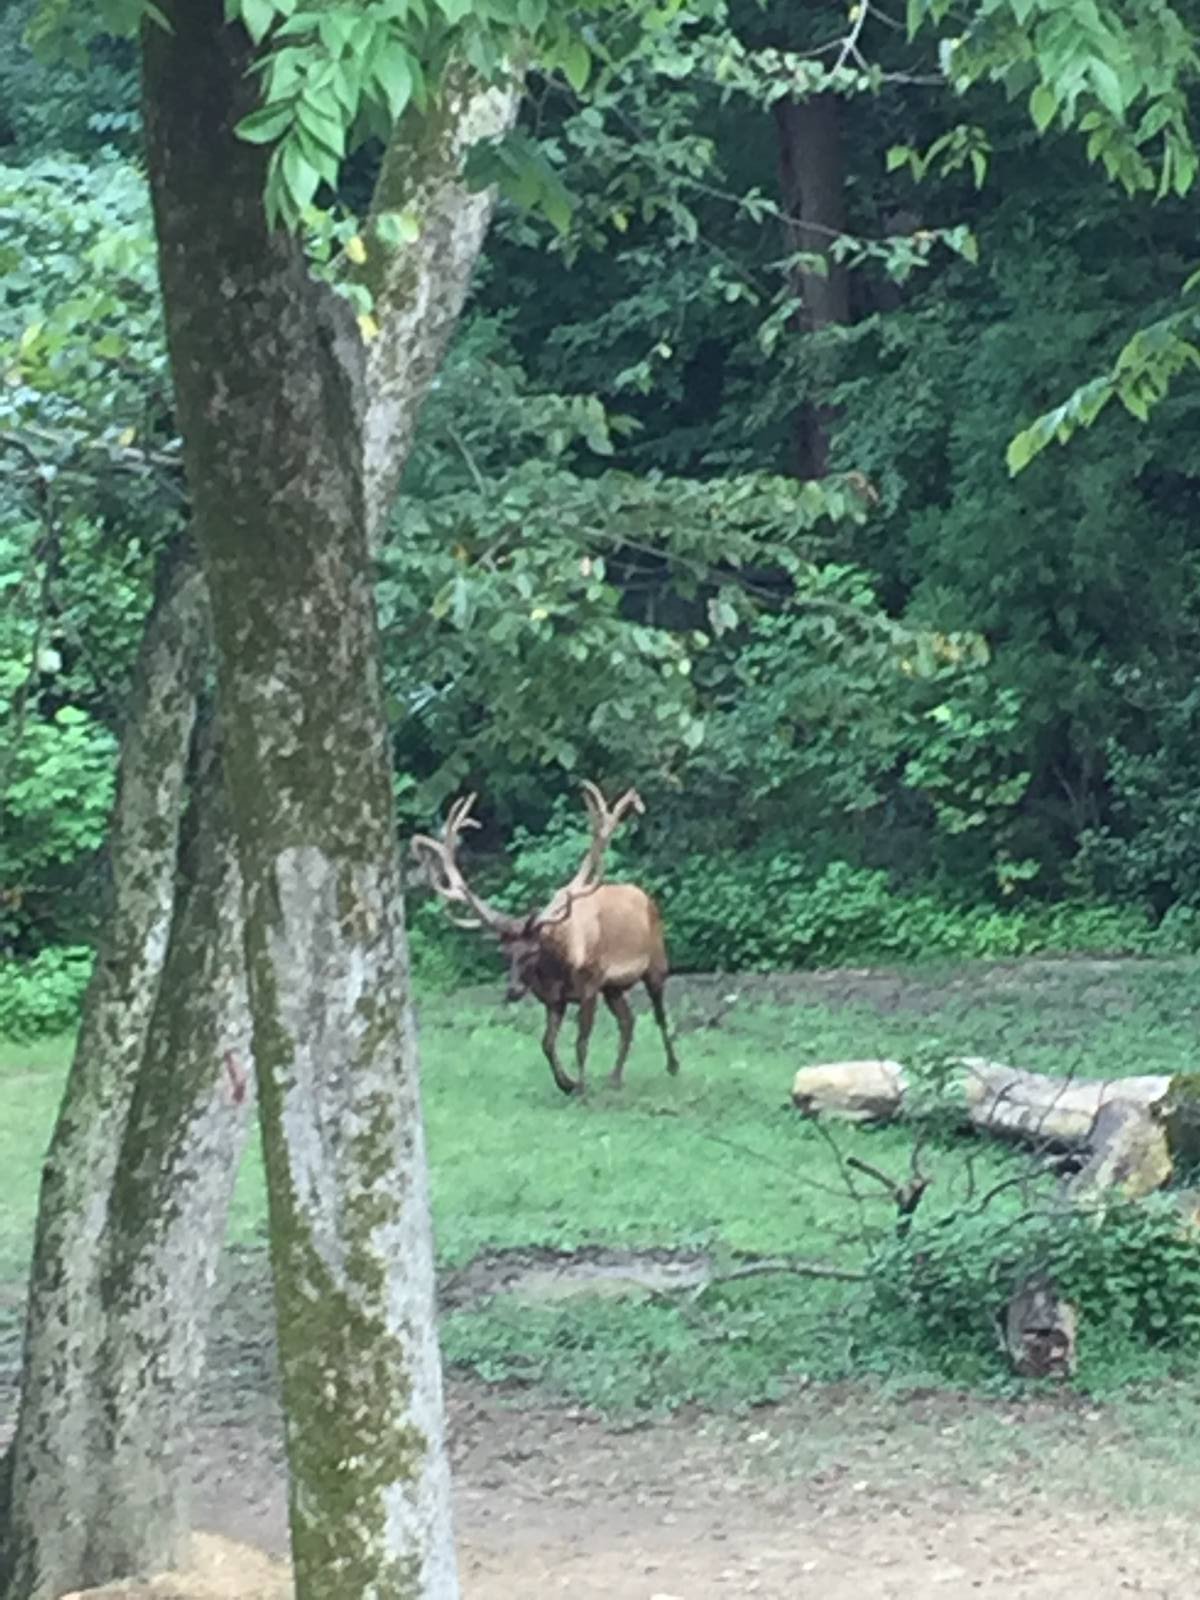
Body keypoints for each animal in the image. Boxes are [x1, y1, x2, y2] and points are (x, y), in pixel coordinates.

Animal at [410, 783, 680, 1096]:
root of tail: (646, 897)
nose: (513, 990)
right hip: (612, 988)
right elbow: (547, 1044)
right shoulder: (553, 999)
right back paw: (615, 1077)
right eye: (505, 952)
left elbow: (581, 1042)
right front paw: (567, 1083)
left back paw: (673, 1066)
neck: (560, 966)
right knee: (628, 1020)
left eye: (532, 950)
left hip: (656, 964)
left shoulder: (590, 984)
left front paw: (581, 1088)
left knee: (660, 1014)